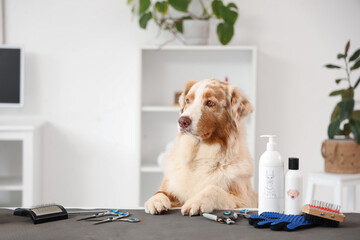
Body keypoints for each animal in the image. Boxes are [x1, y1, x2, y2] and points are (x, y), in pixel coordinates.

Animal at [145, 78, 258, 216]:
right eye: (188, 100)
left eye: (210, 103)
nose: (182, 121)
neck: (199, 155)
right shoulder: (171, 186)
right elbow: (160, 192)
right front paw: (155, 201)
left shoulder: (244, 199)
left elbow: (213, 188)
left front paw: (196, 202)